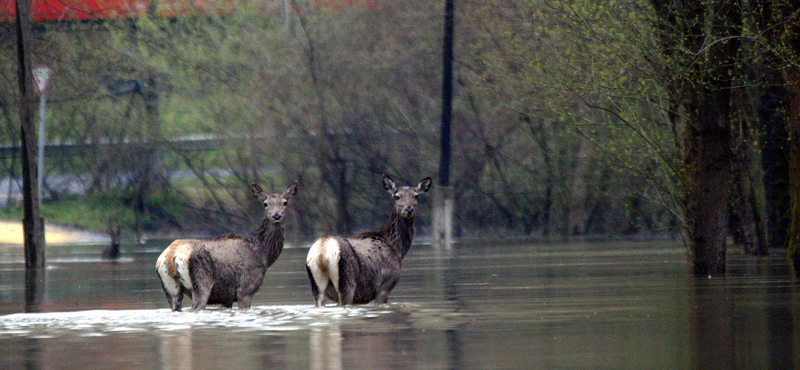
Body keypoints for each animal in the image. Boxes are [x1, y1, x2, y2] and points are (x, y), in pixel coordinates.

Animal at [155, 182, 296, 312]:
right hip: (201, 284)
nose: (276, 216)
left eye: (285, 202)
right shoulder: (246, 289)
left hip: (171, 289)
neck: (262, 254)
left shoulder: (226, 297)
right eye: (265, 203)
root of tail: (171, 255)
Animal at [304, 174, 432, 306]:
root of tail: (322, 253)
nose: (409, 209)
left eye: (416, 195)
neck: (397, 248)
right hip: (347, 282)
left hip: (317, 286)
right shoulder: (385, 286)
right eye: (397, 196)